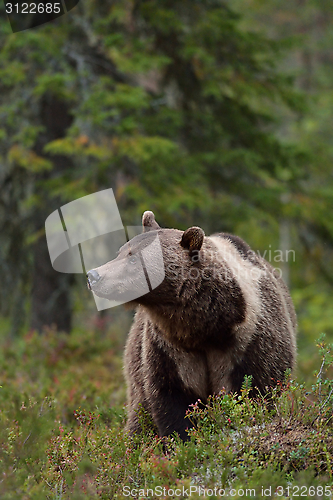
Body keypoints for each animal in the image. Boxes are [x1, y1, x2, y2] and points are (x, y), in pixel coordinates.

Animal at [86, 211, 296, 442]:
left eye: (133, 258)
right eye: (121, 251)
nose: (93, 275)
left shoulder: (249, 339)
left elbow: (255, 388)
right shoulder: (169, 350)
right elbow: (171, 399)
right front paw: (181, 439)